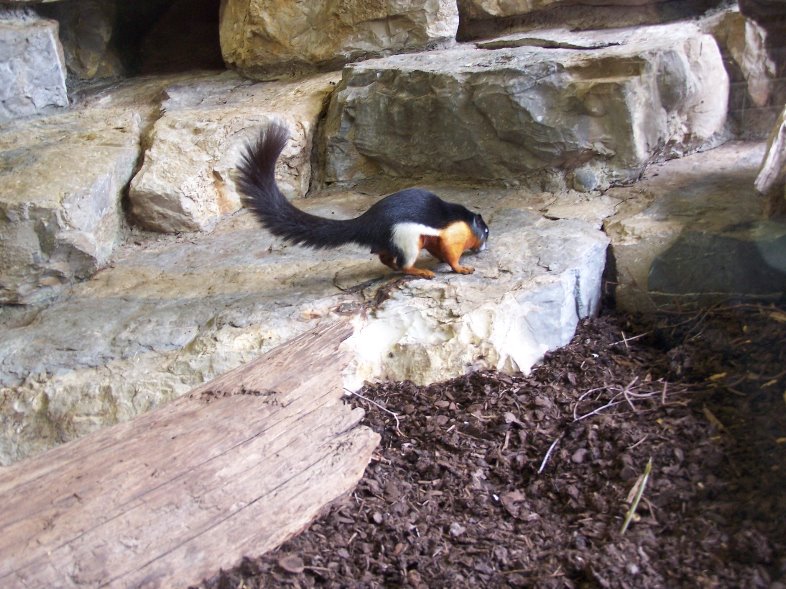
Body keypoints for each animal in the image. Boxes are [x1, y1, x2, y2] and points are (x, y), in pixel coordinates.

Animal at [235, 122, 489, 279]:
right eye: (486, 231)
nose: (485, 246)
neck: (464, 220)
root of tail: (366, 222)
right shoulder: (450, 238)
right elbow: (451, 257)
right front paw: (463, 268)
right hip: (407, 240)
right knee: (403, 264)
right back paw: (420, 272)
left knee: (384, 257)